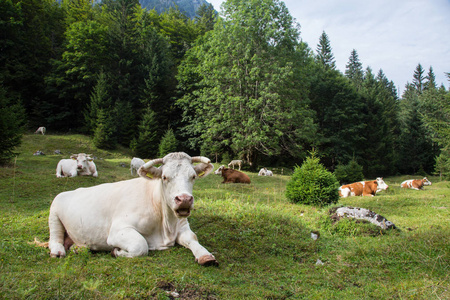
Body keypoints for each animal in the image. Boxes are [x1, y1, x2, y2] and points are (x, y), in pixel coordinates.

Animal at [44, 154, 217, 266]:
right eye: (164, 177)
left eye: (193, 176)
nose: (184, 199)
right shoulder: (118, 230)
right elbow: (141, 246)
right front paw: (116, 252)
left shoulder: (182, 226)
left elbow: (192, 238)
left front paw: (205, 255)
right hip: (54, 214)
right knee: (55, 238)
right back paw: (58, 251)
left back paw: (78, 248)